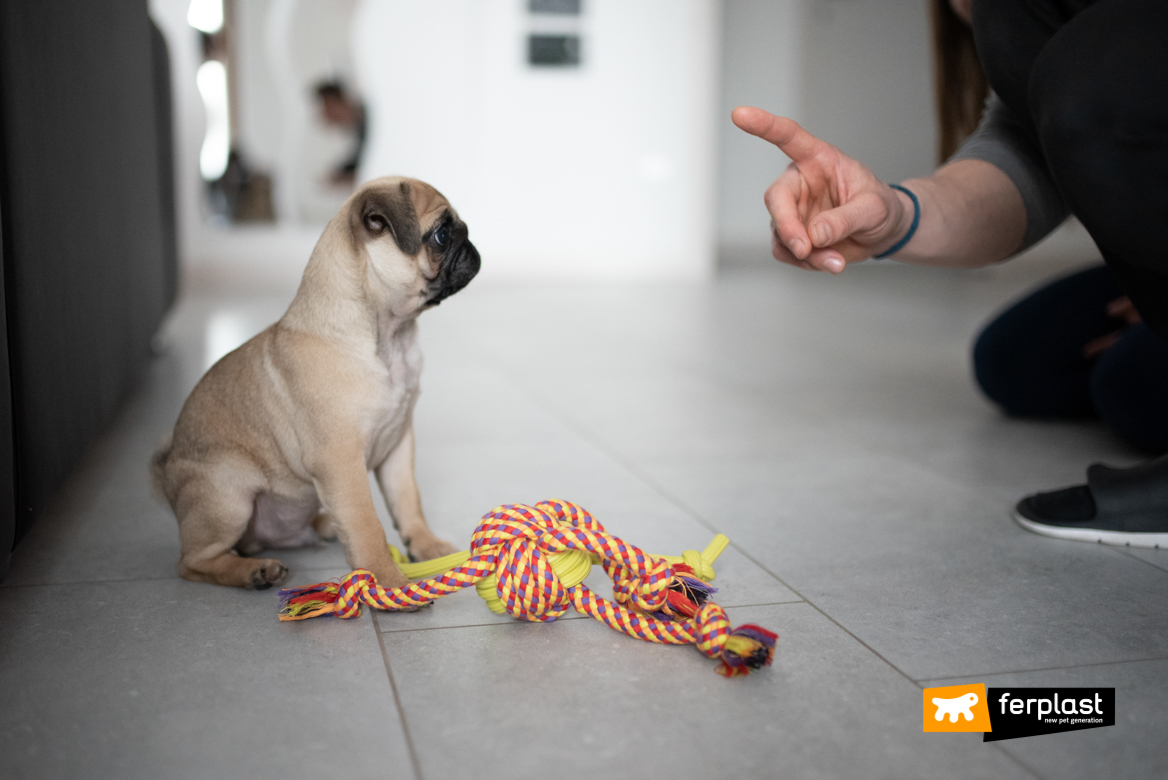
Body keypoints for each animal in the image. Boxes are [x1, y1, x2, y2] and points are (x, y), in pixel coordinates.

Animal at [150, 178, 478, 590]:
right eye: (442, 234)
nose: (471, 242)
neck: (388, 338)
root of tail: (169, 483)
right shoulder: (340, 461)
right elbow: (366, 523)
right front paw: (387, 580)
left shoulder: (399, 447)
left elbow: (407, 502)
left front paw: (426, 545)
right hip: (228, 495)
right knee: (193, 561)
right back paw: (253, 570)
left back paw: (320, 528)